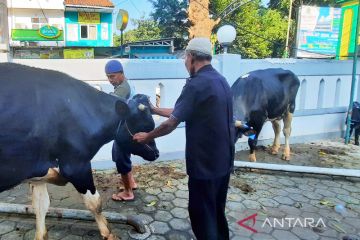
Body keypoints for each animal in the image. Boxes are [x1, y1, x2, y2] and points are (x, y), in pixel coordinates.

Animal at [0, 62, 158, 239]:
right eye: (144, 127)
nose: (156, 153)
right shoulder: (76, 165)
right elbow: (95, 203)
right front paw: (109, 234)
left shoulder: (38, 173)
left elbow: (41, 206)